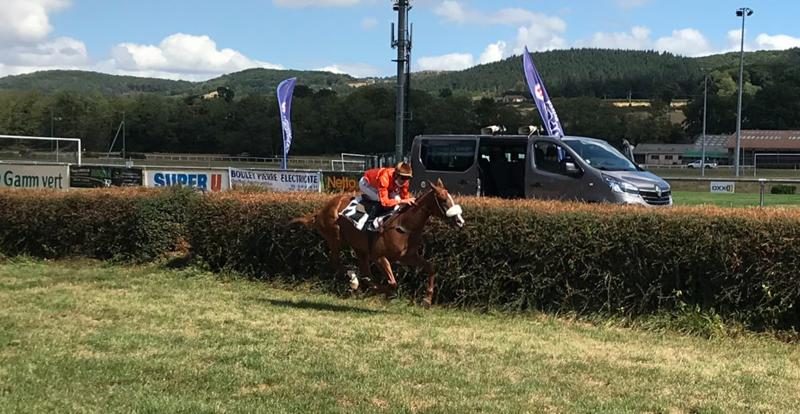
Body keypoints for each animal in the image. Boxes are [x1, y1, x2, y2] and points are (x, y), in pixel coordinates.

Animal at [290, 180, 462, 306]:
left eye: (451, 198)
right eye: (443, 200)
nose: (460, 221)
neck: (404, 225)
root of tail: (321, 211)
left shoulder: (408, 256)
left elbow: (431, 268)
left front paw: (427, 299)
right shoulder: (379, 257)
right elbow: (392, 283)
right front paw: (378, 290)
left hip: (359, 248)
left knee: (363, 269)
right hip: (335, 238)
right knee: (336, 262)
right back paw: (354, 280)